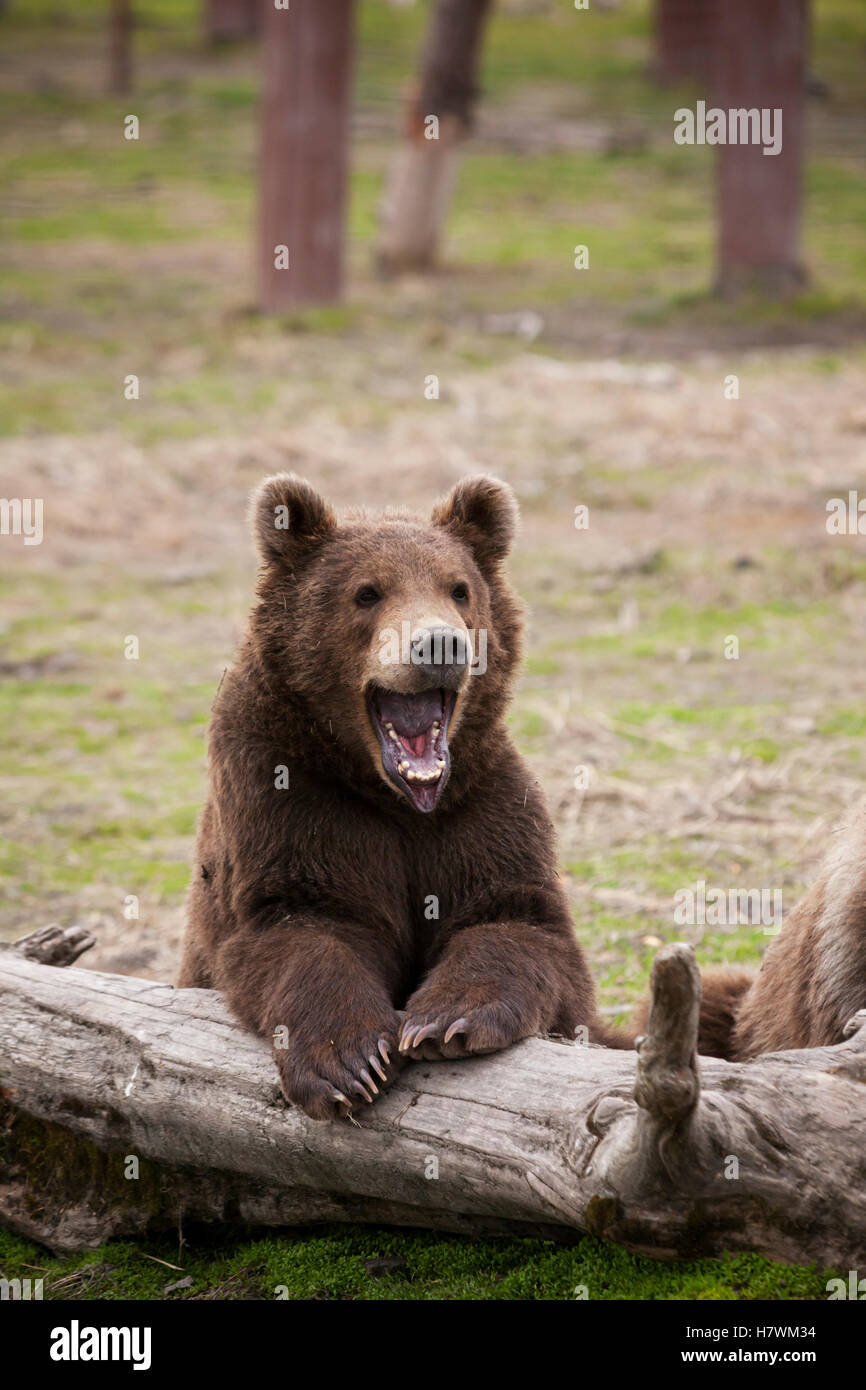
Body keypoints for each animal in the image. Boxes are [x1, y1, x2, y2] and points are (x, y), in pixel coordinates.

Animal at [179, 475, 622, 1117]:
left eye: (459, 588)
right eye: (367, 592)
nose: (438, 645)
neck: (396, 798)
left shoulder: (479, 805)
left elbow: (517, 921)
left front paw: (446, 1020)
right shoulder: (283, 797)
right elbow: (300, 926)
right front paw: (347, 1061)